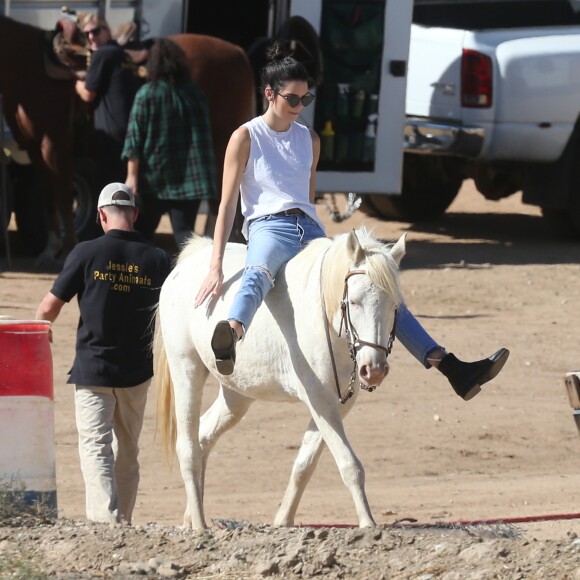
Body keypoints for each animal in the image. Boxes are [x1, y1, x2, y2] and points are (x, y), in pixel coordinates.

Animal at [155, 228, 408, 532]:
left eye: (395, 306)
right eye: (354, 301)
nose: (375, 369)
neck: (325, 319)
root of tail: (191, 260)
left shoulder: (336, 405)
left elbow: (305, 463)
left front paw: (283, 520)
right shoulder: (320, 401)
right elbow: (349, 465)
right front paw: (368, 523)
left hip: (236, 396)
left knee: (204, 434)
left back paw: (190, 517)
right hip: (186, 369)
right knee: (188, 447)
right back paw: (200, 525)